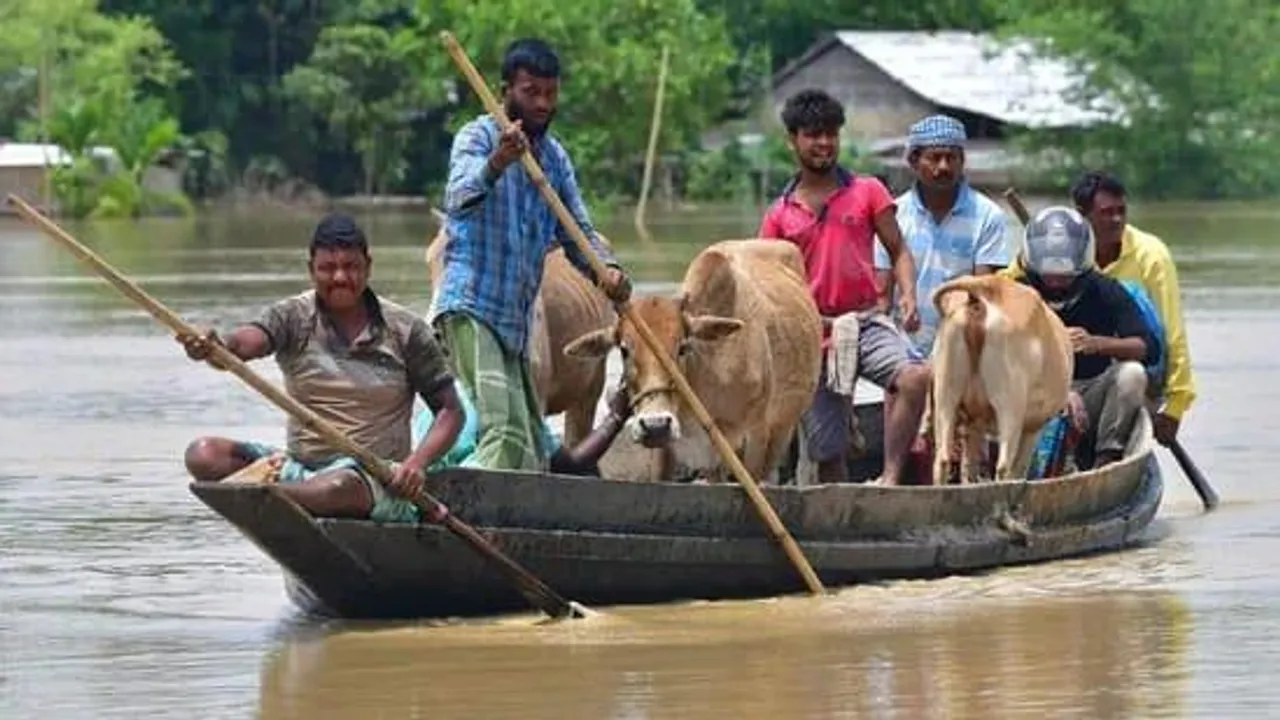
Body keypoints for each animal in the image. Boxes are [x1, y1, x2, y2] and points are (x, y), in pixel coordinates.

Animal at [560, 239, 819, 481]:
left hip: (783, 428)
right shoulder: (670, 450)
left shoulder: (756, 437)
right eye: (624, 350)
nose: (655, 425)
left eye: (683, 348)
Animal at [926, 272, 1075, 481]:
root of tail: (985, 290)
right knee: (1004, 466)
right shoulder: (1033, 427)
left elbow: (968, 469)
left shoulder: (974, 423)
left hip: (947, 398)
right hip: (1010, 406)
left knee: (943, 460)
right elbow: (1019, 469)